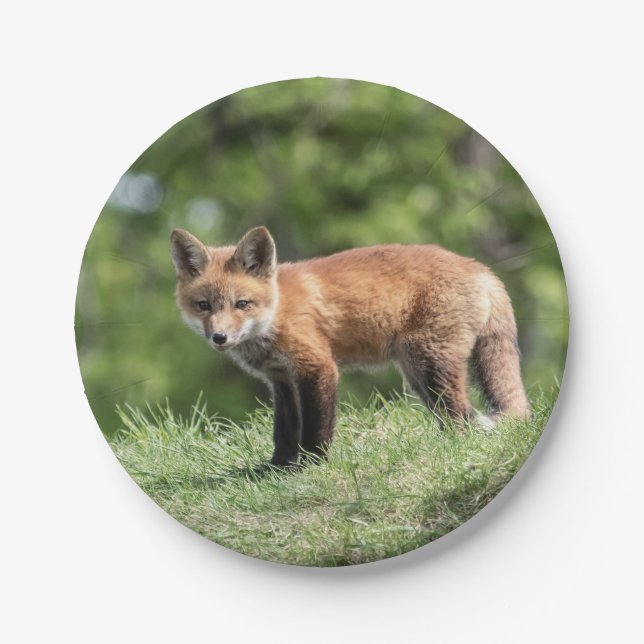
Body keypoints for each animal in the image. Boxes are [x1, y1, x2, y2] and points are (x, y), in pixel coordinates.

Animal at [171, 226, 530, 466]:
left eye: (242, 304)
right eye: (204, 306)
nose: (219, 338)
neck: (277, 312)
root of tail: (481, 268)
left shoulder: (318, 368)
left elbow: (316, 427)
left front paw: (312, 466)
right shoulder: (281, 379)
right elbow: (284, 430)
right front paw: (277, 468)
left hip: (429, 364)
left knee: (461, 416)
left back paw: (451, 450)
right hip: (417, 374)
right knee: (453, 414)